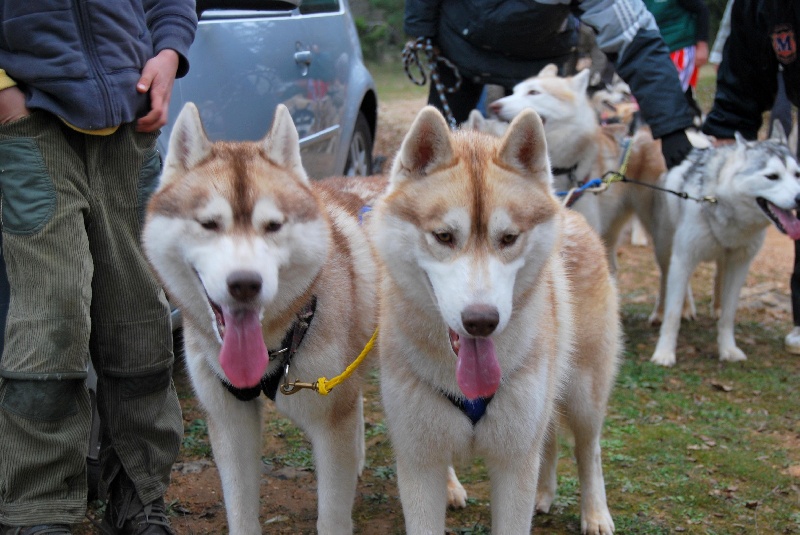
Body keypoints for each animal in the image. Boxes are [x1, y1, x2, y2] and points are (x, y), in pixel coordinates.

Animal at [142, 102, 376, 532]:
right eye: (208, 224)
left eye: (273, 226)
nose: (245, 284)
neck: (278, 342)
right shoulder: (229, 421)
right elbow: (240, 511)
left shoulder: (330, 425)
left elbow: (332, 516)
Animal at [374, 107, 620, 532]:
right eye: (444, 236)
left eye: (508, 238)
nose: (481, 321)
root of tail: (568, 208)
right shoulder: (419, 463)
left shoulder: (514, 463)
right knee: (549, 438)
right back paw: (542, 493)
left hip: (584, 394)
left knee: (589, 450)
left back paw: (595, 512)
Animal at [648, 127, 800, 366]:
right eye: (772, 176)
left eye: (797, 175)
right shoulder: (683, 259)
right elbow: (672, 316)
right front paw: (664, 353)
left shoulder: (740, 265)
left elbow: (729, 314)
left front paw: (728, 349)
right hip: (665, 250)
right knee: (665, 280)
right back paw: (661, 312)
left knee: (718, 276)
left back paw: (711, 308)